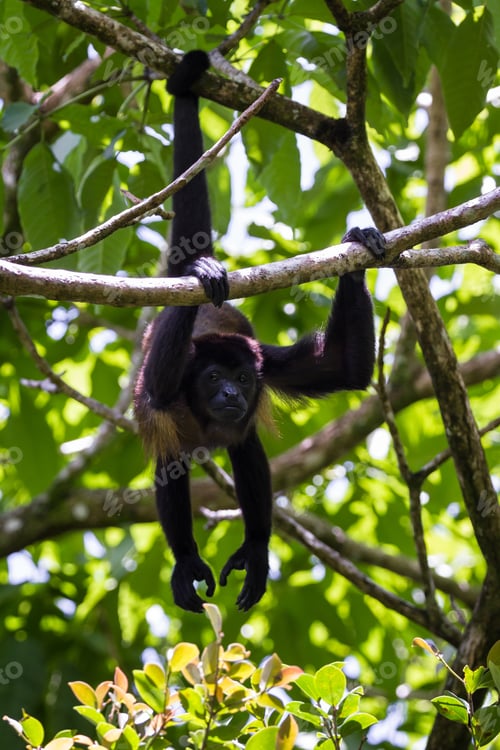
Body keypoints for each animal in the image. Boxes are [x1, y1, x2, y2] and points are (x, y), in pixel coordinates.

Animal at [134, 50, 386, 613]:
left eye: (243, 380)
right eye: (212, 379)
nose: (231, 393)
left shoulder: (267, 362)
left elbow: (344, 365)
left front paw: (356, 246)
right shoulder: (177, 381)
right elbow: (159, 396)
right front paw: (199, 269)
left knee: (246, 448)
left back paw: (255, 548)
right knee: (171, 460)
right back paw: (188, 562)